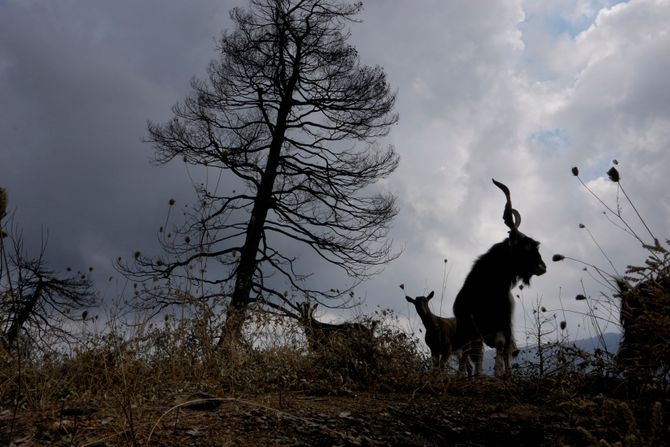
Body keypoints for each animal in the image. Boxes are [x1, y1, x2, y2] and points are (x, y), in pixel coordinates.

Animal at [454, 180, 548, 376]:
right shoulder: (467, 324)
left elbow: (502, 346)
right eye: (525, 247)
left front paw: (500, 373)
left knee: (504, 349)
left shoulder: (503, 323)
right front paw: (466, 375)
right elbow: (469, 353)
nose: (542, 267)